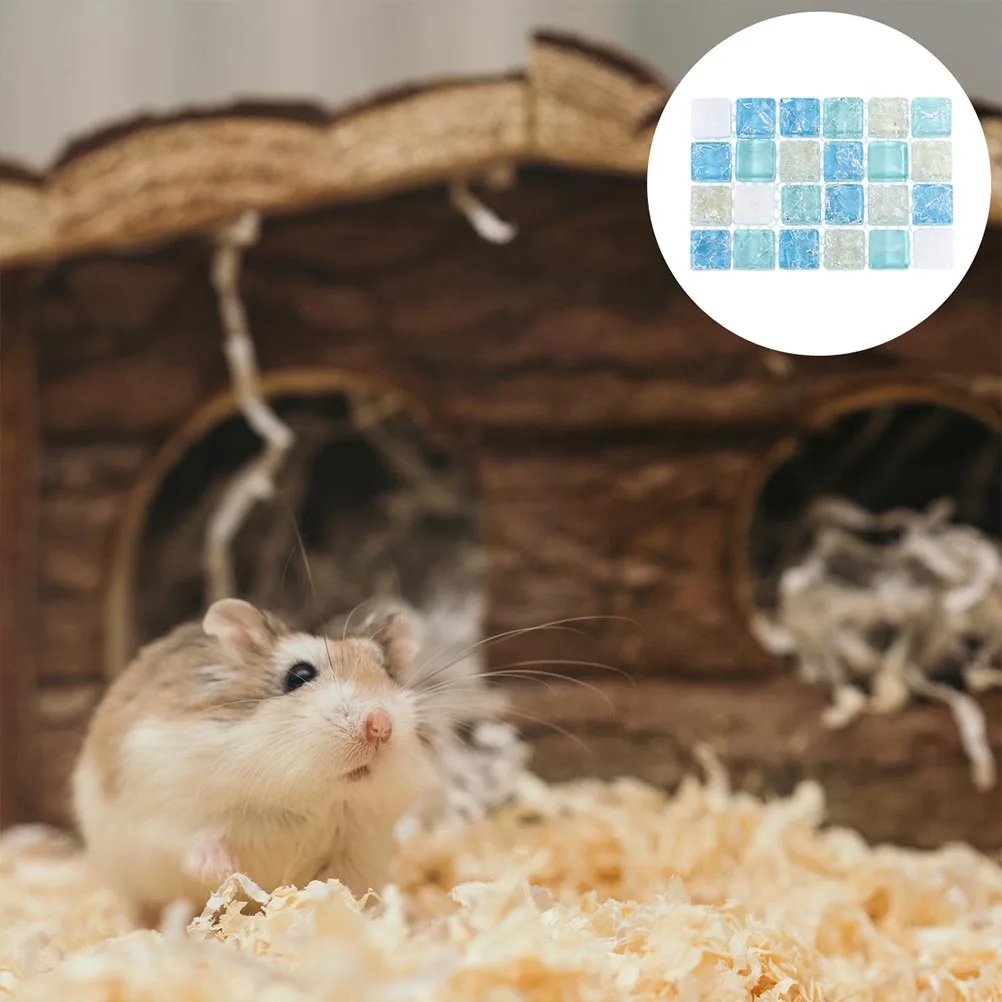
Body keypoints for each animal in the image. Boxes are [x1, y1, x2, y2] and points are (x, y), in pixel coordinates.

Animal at [71, 598, 440, 926]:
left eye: (388, 673)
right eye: (299, 675)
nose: (380, 725)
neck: (309, 796)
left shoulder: (357, 850)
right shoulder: (164, 809)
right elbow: (191, 840)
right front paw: (224, 869)